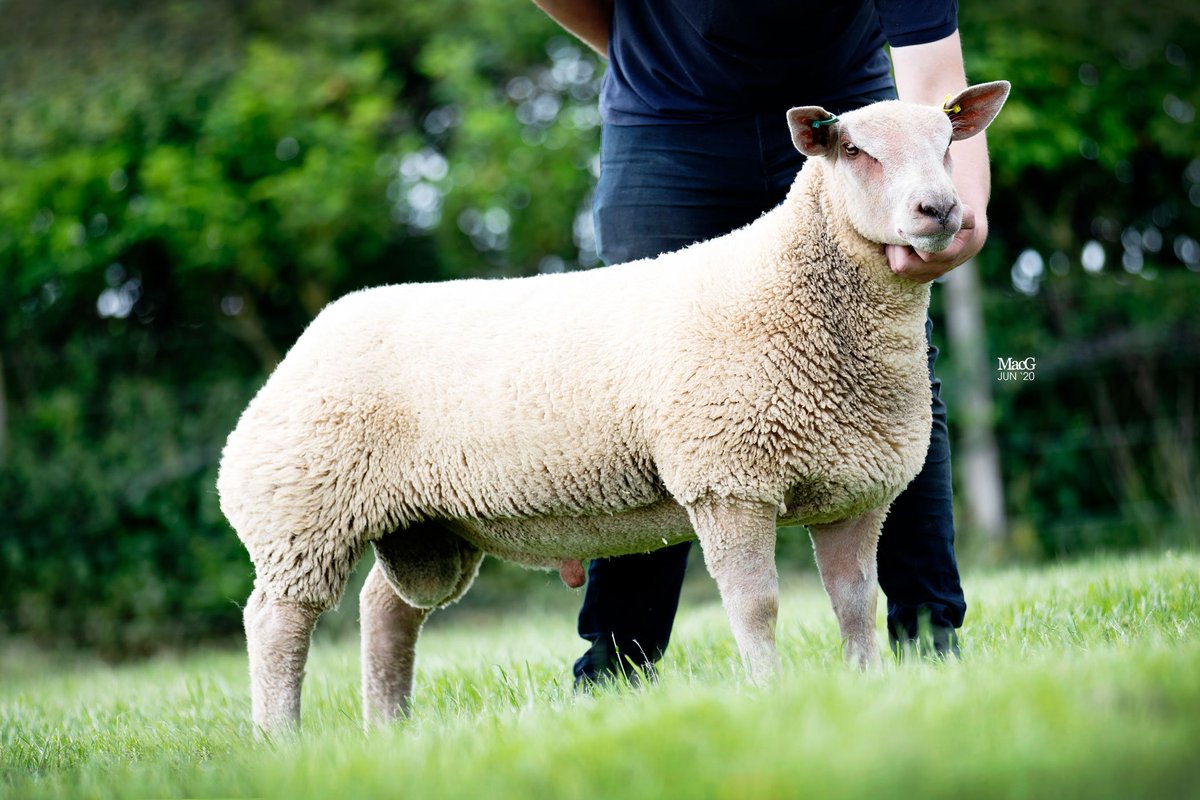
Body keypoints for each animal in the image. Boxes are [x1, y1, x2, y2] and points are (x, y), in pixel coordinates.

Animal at [217, 81, 1011, 732]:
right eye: (853, 150)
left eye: (948, 146)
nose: (941, 209)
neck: (788, 290)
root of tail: (319, 327)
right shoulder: (728, 480)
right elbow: (757, 604)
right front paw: (770, 694)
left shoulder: (855, 489)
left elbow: (854, 602)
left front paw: (867, 688)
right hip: (301, 512)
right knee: (277, 623)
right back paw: (280, 740)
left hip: (420, 523)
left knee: (386, 609)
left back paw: (389, 729)